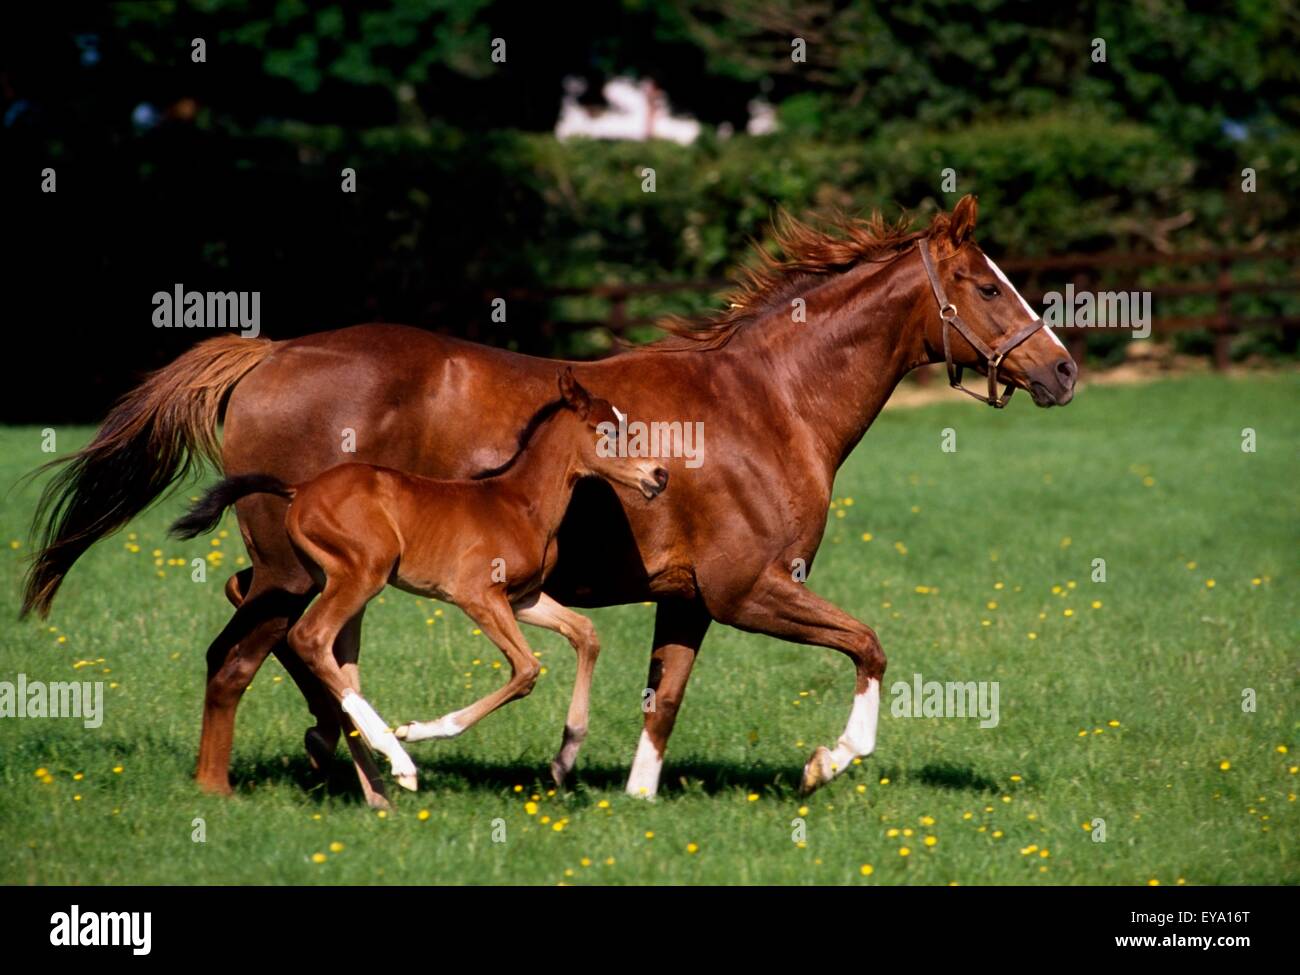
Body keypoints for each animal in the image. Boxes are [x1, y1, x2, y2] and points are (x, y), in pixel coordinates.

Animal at [170, 369, 670, 795]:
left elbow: (586, 634)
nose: (659, 475)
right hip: (363, 572)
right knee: (310, 636)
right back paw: (398, 759)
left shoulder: (523, 599)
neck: (519, 504)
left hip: (322, 575)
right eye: (608, 432)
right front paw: (419, 731)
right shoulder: (476, 596)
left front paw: (565, 759)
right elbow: (527, 669)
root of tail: (300, 490)